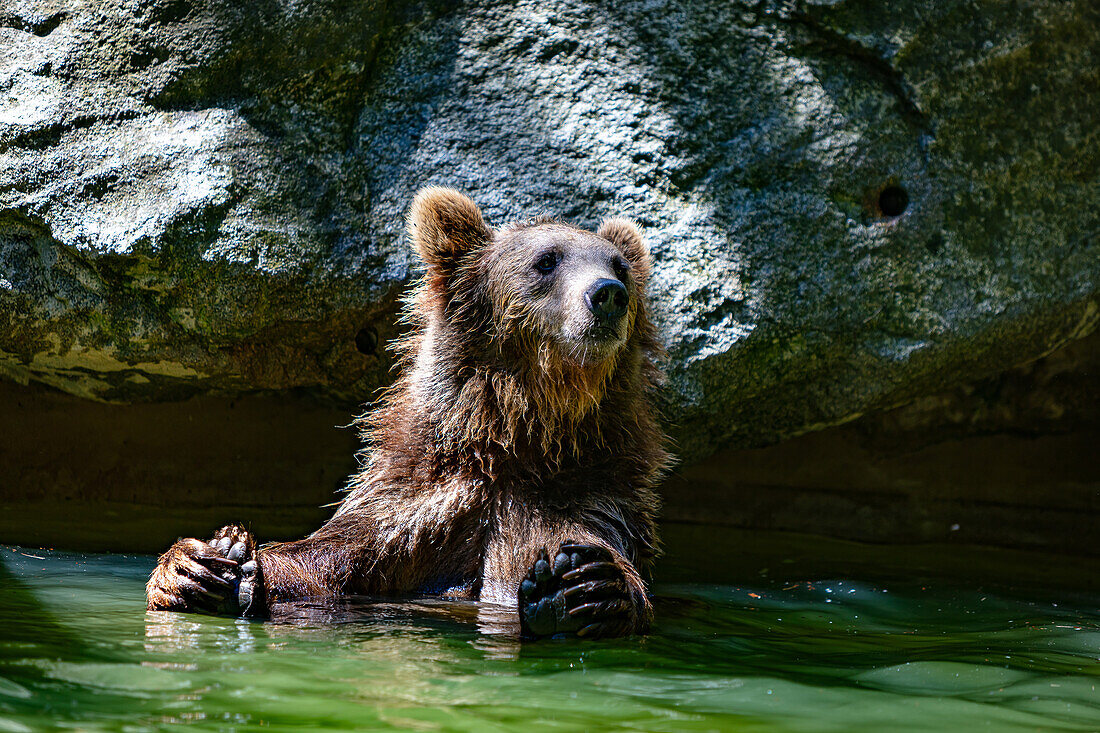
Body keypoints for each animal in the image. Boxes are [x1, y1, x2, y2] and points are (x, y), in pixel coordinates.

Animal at [148, 186, 668, 638]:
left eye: (620, 266)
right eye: (546, 260)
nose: (608, 293)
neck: (520, 436)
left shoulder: (591, 497)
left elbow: (592, 549)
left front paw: (582, 587)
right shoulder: (418, 508)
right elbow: (324, 558)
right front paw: (205, 564)